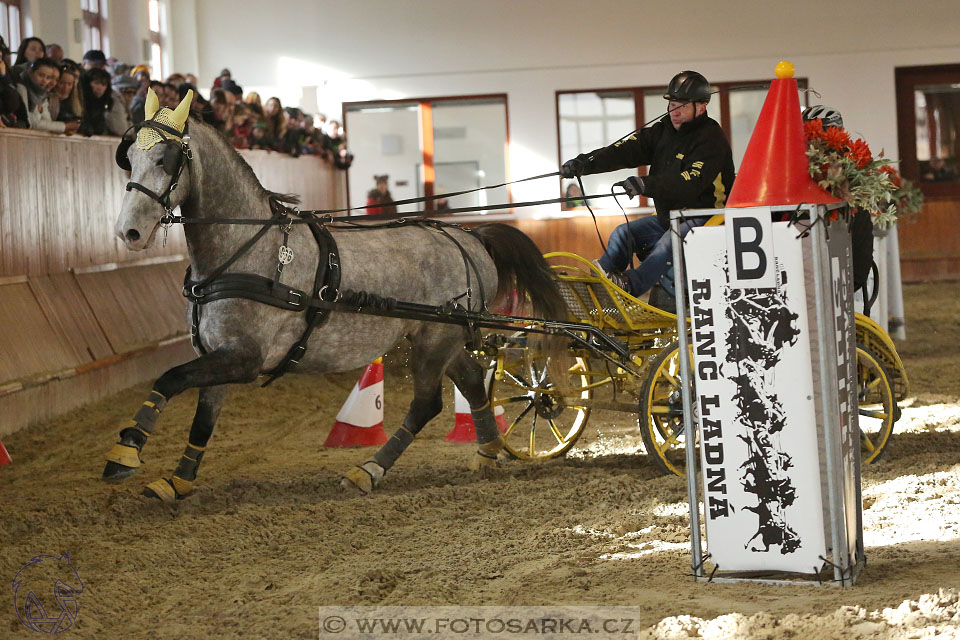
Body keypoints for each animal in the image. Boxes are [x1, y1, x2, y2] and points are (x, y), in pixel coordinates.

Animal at [103, 89, 568, 500]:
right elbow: (202, 419)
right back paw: (487, 452)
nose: (128, 232)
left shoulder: (244, 358)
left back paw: (369, 470)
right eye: (130, 159)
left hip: (437, 340)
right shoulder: (217, 353)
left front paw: (125, 452)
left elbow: (168, 378)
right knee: (472, 384)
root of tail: (470, 237)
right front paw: (177, 481)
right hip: (439, 335)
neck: (246, 250)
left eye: (165, 159)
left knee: (427, 403)